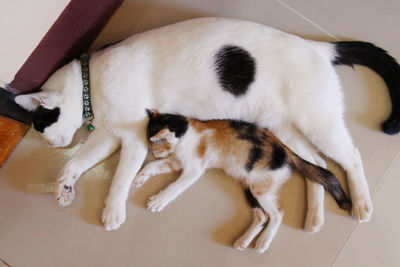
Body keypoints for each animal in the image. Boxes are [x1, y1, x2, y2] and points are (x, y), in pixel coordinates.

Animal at [12, 17, 400, 232]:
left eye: (40, 127)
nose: (49, 145)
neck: (92, 84)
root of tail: (318, 47)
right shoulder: (109, 135)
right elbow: (77, 163)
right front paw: (64, 185)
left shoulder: (134, 138)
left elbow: (120, 178)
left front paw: (112, 211)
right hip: (287, 129)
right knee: (316, 165)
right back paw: (314, 218)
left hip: (318, 122)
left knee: (349, 156)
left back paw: (362, 204)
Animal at [134, 110, 350, 253]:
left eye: (155, 147)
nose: (155, 153)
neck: (187, 132)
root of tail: (286, 150)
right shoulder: (177, 162)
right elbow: (154, 167)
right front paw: (139, 177)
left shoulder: (194, 168)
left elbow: (175, 186)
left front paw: (158, 201)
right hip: (249, 185)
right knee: (262, 215)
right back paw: (243, 241)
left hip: (260, 187)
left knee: (277, 213)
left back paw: (263, 242)